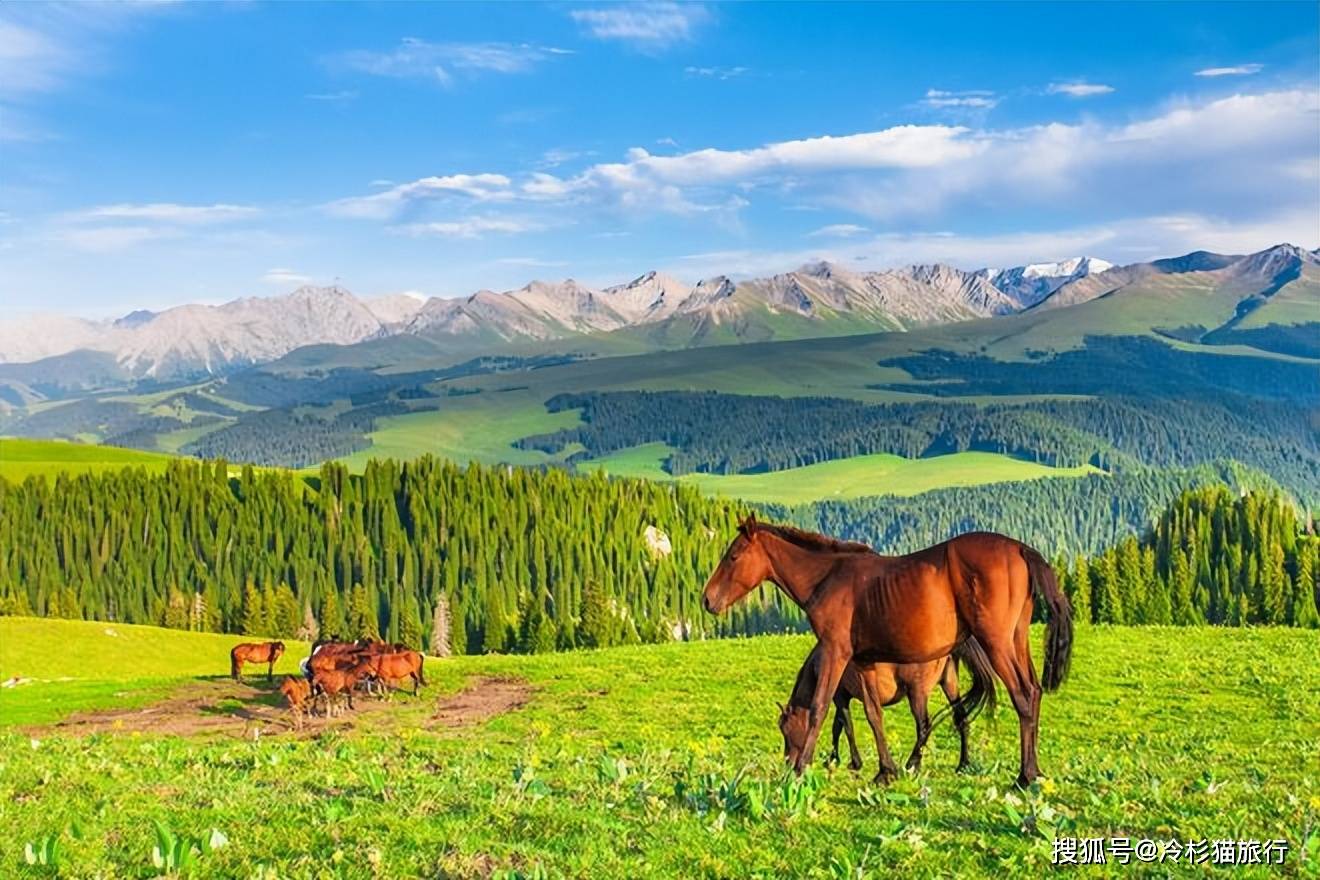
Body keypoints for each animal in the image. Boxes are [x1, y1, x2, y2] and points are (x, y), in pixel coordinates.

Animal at [776, 643, 987, 781]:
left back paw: (912, 765)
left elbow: (845, 726)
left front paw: (849, 762)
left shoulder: (839, 696)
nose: (788, 762)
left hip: (917, 693)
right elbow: (839, 726)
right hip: (949, 684)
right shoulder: (843, 697)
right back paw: (963, 764)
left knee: (924, 727)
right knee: (962, 720)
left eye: (785, 730)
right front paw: (835, 759)